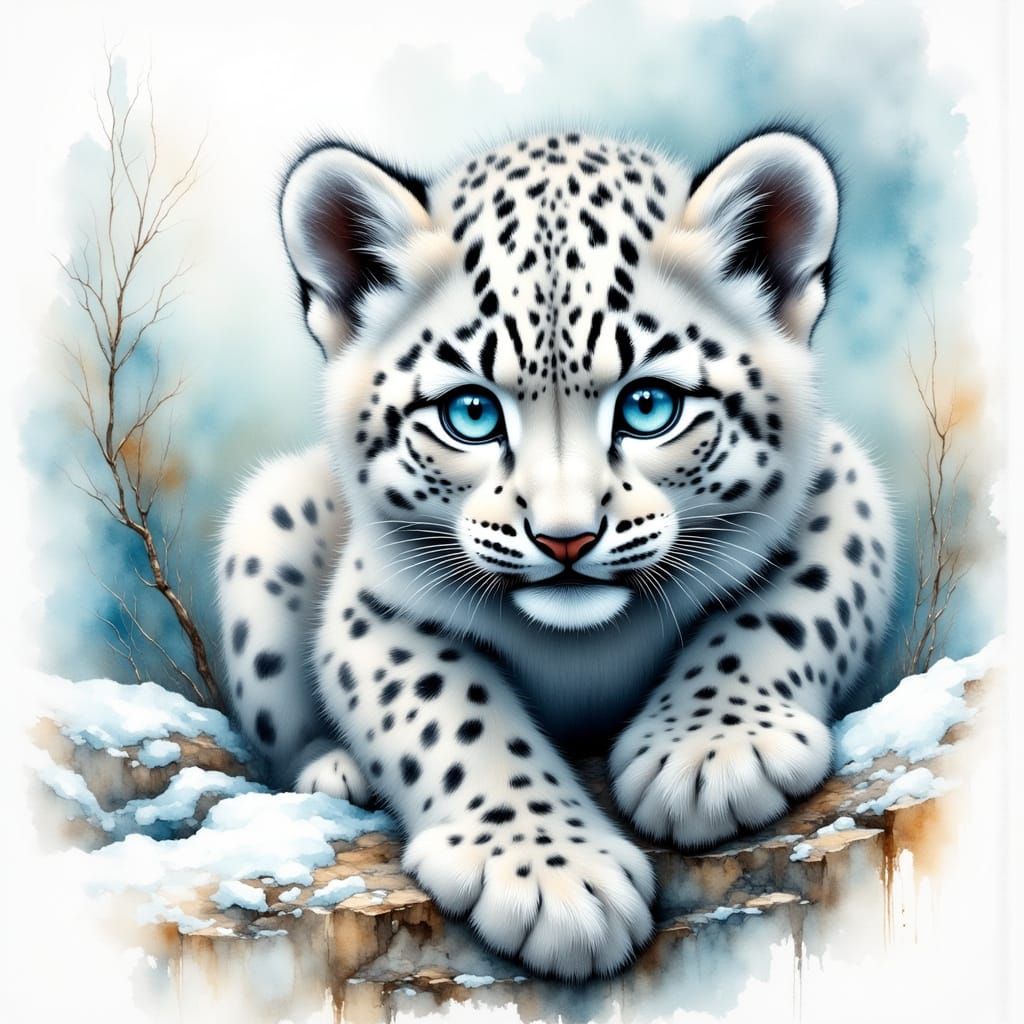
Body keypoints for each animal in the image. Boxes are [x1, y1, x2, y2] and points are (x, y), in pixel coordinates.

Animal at [216, 128, 895, 980]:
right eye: (472, 412)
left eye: (649, 405)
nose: (564, 536)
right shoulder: (374, 605)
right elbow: (449, 710)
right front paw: (553, 877)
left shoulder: (841, 488)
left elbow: (787, 608)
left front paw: (710, 749)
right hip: (264, 526)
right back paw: (335, 767)